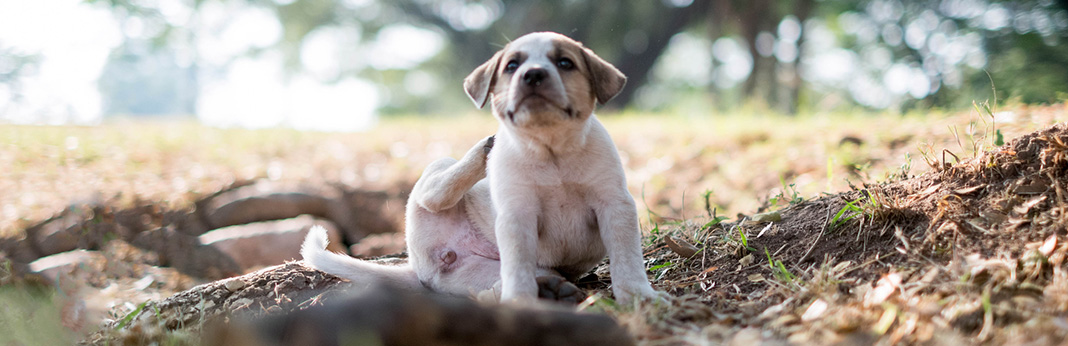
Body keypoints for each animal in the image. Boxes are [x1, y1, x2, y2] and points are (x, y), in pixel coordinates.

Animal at [301, 31, 662, 303]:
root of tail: (419, 268)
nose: (532, 75)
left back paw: (549, 291)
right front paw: (521, 303)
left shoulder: (615, 206)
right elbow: (517, 269)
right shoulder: (517, 217)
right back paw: (486, 151)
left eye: (565, 63)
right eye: (512, 65)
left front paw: (639, 297)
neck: (551, 151)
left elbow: (627, 260)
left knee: (496, 286)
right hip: (438, 178)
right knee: (436, 194)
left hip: (506, 270)